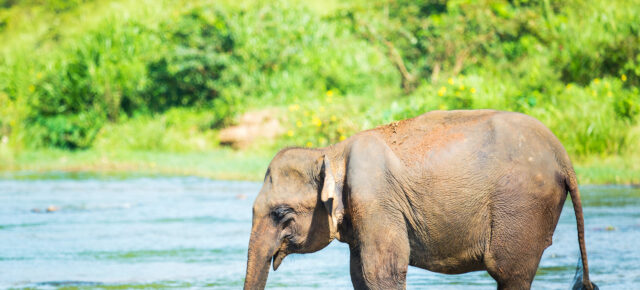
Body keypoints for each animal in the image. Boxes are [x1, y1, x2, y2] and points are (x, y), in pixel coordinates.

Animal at [242, 110, 596, 288]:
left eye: (281, 212)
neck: (330, 151)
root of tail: (564, 157)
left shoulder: (375, 199)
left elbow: (381, 271)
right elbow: (359, 274)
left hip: (522, 204)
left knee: (508, 271)